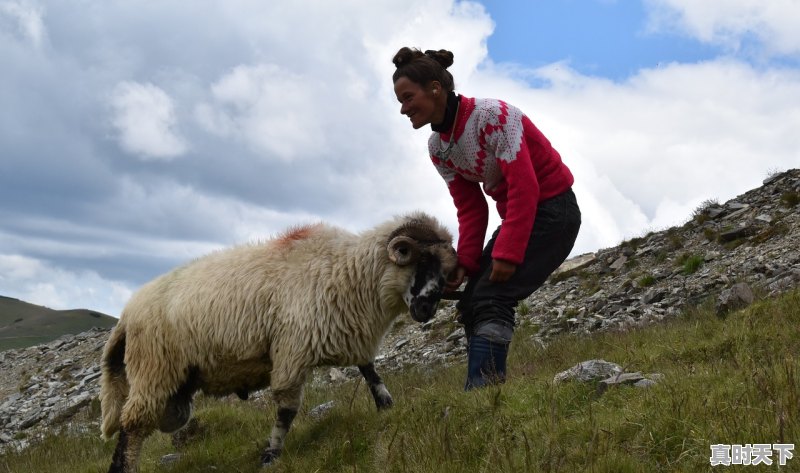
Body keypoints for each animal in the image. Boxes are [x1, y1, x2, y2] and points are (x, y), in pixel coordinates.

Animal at [98, 212, 456, 470]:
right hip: (153, 370)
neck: (345, 272)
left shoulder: (345, 331)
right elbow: (286, 409)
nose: (427, 309)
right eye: (423, 261)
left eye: (446, 268)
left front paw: (386, 405)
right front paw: (271, 455)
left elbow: (370, 371)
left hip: (173, 388)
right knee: (131, 428)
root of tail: (126, 315)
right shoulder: (292, 349)